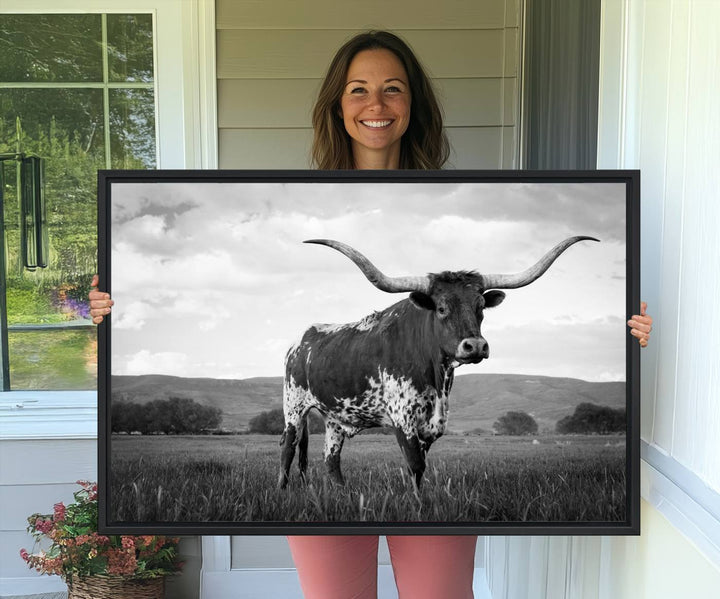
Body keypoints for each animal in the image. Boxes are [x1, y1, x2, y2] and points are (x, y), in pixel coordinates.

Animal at [276, 237, 596, 490]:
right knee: (287, 450)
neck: (436, 376)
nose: (475, 346)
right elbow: (415, 465)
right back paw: (282, 491)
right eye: (441, 308)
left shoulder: (433, 424)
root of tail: (300, 341)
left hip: (334, 419)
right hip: (294, 408)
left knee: (331, 459)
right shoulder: (402, 418)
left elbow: (420, 469)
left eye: (481, 307)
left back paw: (344, 493)